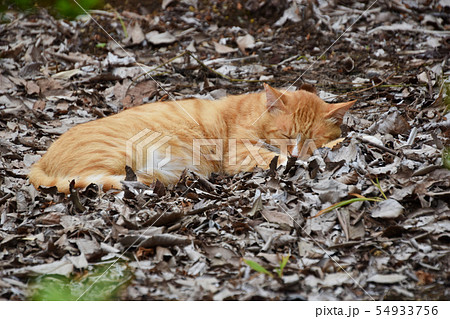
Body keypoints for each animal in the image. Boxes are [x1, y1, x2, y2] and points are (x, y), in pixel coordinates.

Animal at [28, 84, 356, 195]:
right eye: (287, 134)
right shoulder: (240, 154)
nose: (298, 153)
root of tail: (39, 161)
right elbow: (274, 156)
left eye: (310, 138)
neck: (254, 112)